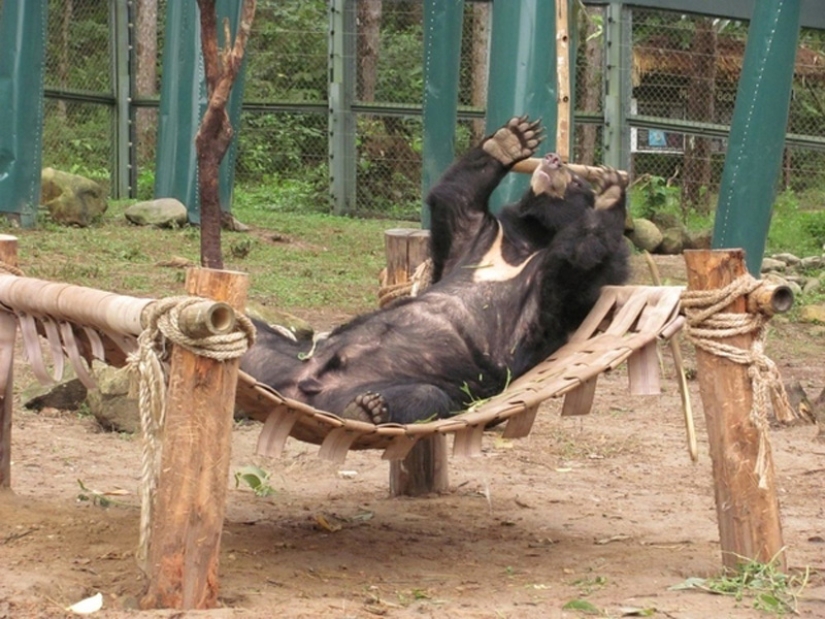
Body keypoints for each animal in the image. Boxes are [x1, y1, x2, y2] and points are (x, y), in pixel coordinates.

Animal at [240, 115, 629, 425]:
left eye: (577, 182)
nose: (554, 159)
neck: (530, 239)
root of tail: (296, 386)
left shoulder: (555, 297)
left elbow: (579, 264)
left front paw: (611, 193)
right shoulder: (480, 237)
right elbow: (456, 200)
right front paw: (512, 139)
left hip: (397, 388)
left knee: (424, 397)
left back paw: (367, 410)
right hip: (278, 355)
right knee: (254, 340)